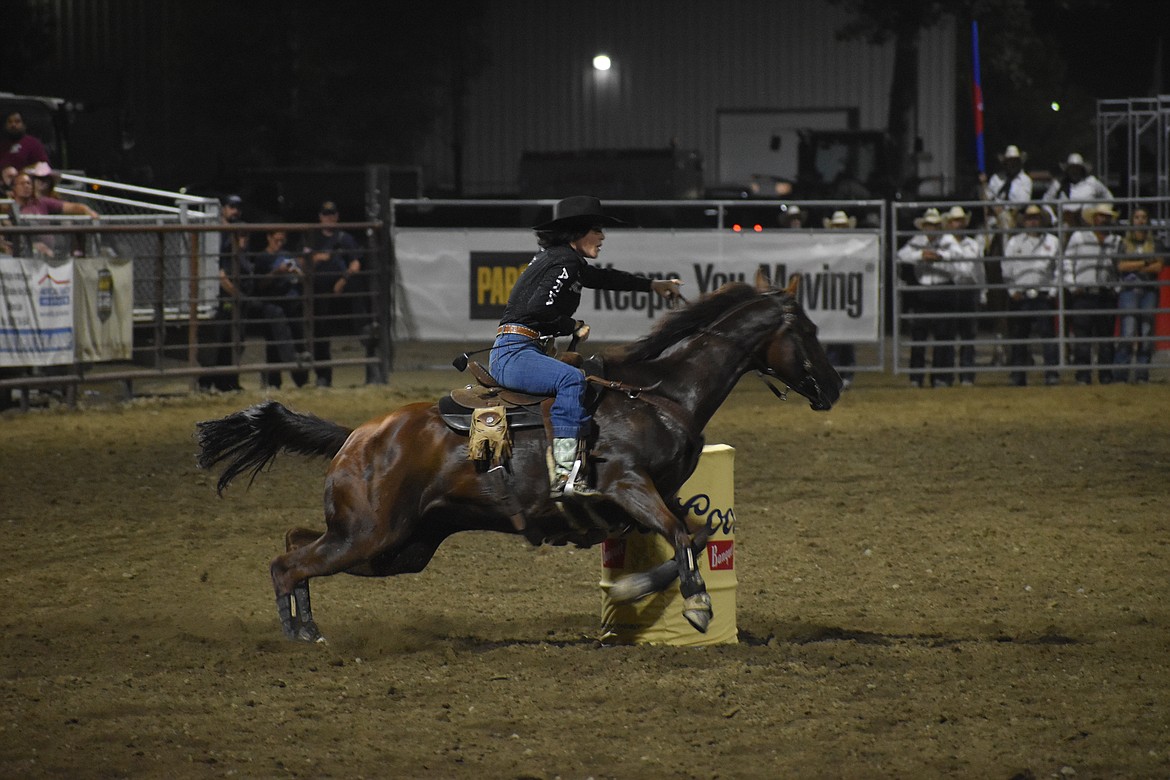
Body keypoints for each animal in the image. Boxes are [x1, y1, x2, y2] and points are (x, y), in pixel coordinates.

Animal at [198, 271, 842, 645]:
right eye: (808, 330)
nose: (835, 386)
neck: (658, 395)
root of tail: (356, 436)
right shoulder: (626, 484)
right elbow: (683, 535)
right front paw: (699, 607)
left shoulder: (656, 496)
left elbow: (701, 531)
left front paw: (629, 591)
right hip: (370, 534)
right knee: (287, 563)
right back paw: (298, 635)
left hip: (397, 546)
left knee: (295, 542)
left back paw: (307, 625)